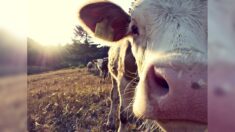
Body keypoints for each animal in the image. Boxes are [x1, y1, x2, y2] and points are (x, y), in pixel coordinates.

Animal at [79, 0, 207, 131]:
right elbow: (123, 115)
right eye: (134, 28)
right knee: (113, 97)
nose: (183, 89)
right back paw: (110, 121)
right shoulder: (123, 80)